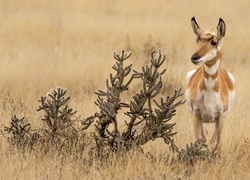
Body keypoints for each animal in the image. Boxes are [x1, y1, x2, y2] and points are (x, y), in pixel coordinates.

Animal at [187, 17, 235, 148]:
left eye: (213, 42)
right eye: (197, 40)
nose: (195, 57)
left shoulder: (220, 117)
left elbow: (217, 143)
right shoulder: (196, 116)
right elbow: (199, 140)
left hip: (223, 118)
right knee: (205, 136)